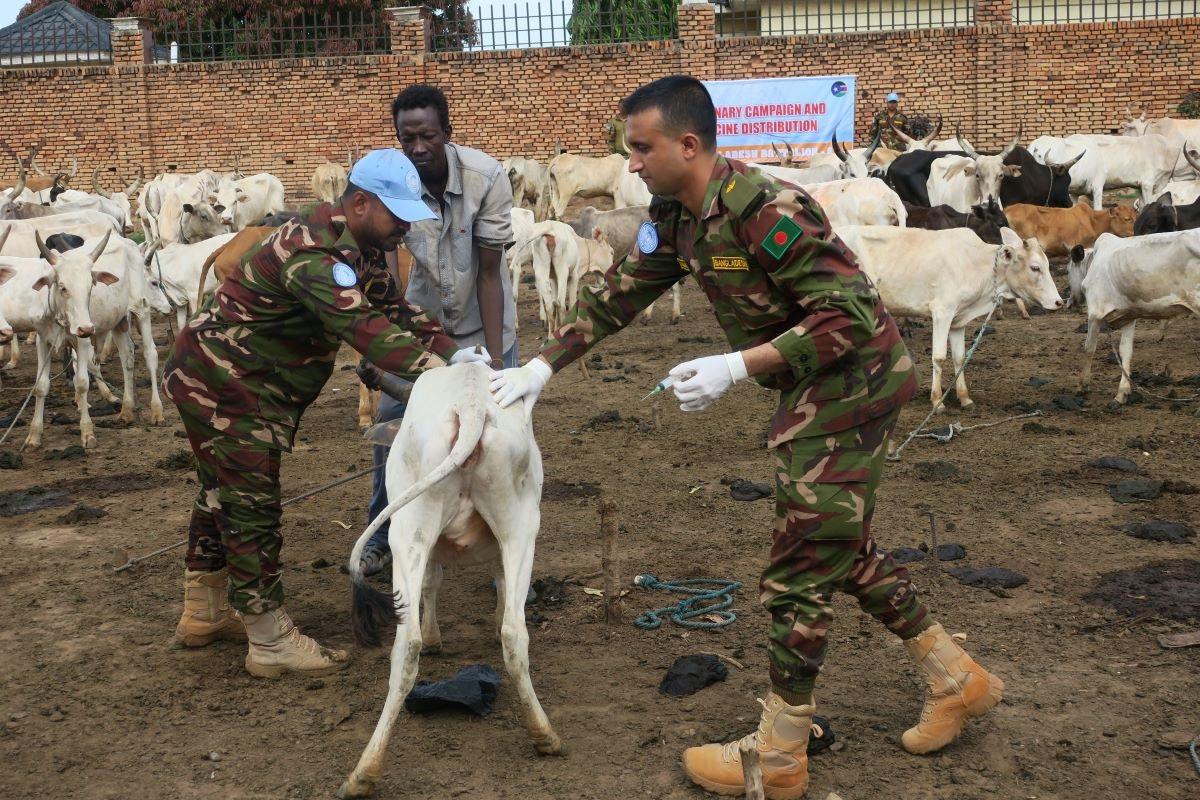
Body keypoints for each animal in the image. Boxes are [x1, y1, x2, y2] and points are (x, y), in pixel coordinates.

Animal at [338, 362, 561, 799]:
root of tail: (469, 405)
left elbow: (433, 584)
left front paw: (436, 635)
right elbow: (494, 582)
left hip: (409, 528)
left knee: (408, 645)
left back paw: (364, 772)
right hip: (520, 526)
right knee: (513, 633)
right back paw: (543, 734)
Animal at [835, 225, 1062, 411]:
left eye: (1047, 264)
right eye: (1035, 267)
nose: (1058, 302)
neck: (978, 266)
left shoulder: (957, 320)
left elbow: (959, 358)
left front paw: (964, 398)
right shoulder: (942, 312)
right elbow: (939, 357)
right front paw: (937, 401)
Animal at [1072, 231, 1200, 403]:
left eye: (1068, 269)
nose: (1071, 301)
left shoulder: (1095, 313)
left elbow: (1089, 348)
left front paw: (1082, 386)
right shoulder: (1129, 316)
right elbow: (1125, 350)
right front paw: (1122, 393)